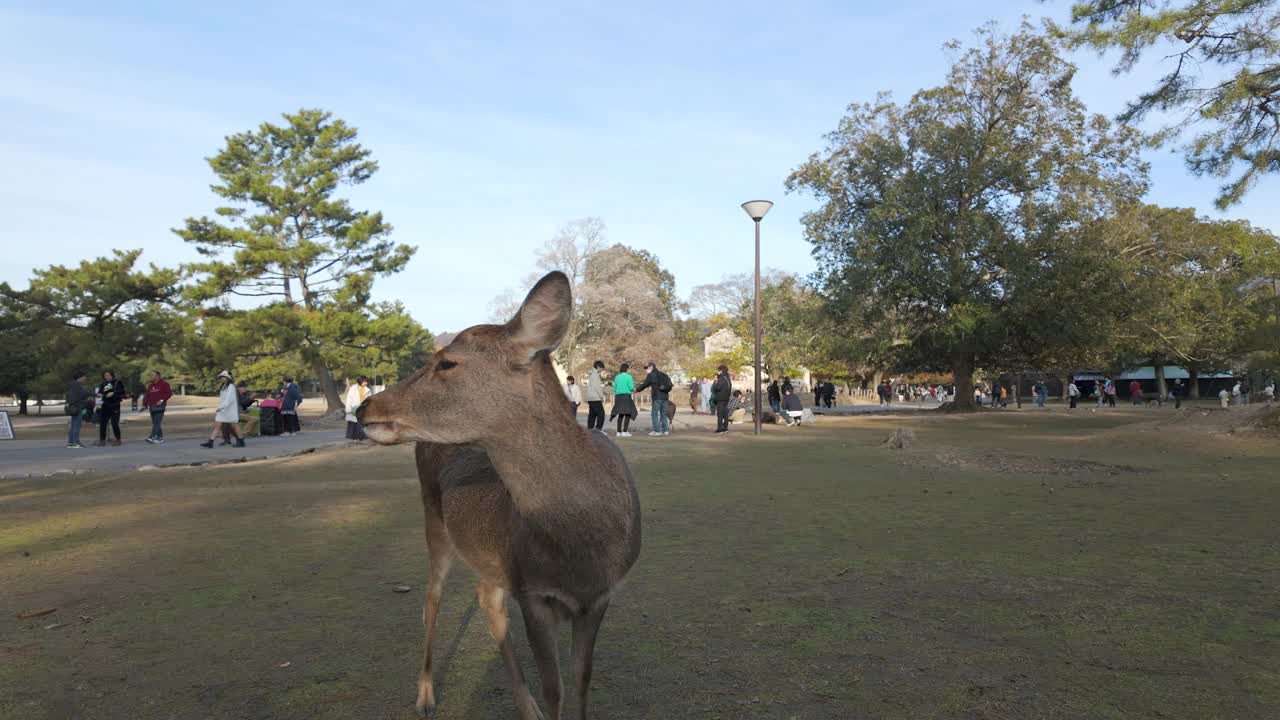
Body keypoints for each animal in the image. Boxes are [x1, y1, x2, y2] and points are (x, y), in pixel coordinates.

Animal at [355, 270, 640, 717]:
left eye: (447, 362)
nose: (364, 408)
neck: (581, 548)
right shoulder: (532, 591)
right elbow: (555, 688)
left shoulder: (599, 597)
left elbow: (581, 682)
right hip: (433, 521)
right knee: (431, 600)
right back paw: (425, 696)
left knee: (486, 601)